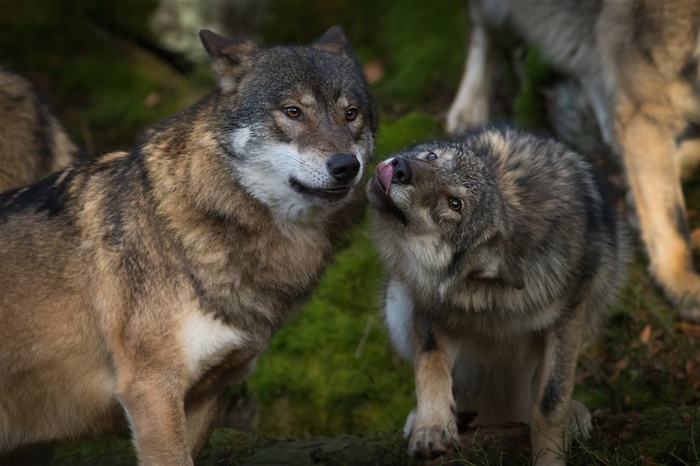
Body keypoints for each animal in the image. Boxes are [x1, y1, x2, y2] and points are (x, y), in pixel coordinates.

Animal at [370, 125, 628, 464]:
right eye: (432, 156)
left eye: (455, 204)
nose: (400, 167)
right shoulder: (430, 304)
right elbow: (430, 364)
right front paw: (432, 428)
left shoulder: (569, 312)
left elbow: (550, 403)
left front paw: (549, 457)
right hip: (396, 301)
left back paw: (575, 415)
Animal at [446, 0, 700, 322]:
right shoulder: (646, 110)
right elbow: (671, 217)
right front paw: (683, 284)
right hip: (500, 11)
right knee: (483, 31)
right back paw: (468, 107)